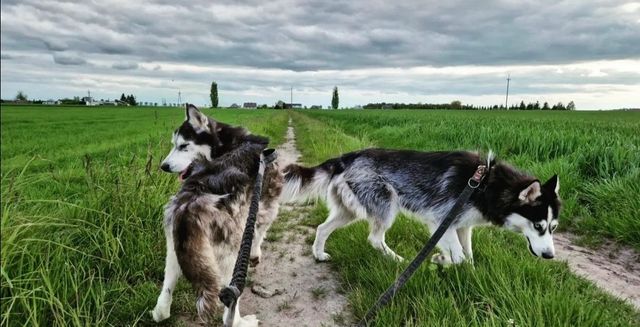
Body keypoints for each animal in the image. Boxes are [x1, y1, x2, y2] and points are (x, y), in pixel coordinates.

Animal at [151, 105, 282, 326]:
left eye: (183, 146)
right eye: (174, 145)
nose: (164, 166)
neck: (231, 144)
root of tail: (189, 205)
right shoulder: (267, 204)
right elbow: (260, 232)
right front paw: (255, 255)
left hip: (175, 249)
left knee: (165, 295)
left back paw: (161, 312)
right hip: (231, 254)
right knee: (230, 301)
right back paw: (241, 321)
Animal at [284, 150, 560, 266]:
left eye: (553, 228)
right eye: (538, 226)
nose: (550, 256)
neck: (485, 184)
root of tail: (347, 157)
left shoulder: (463, 226)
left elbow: (468, 255)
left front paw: (468, 271)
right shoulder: (441, 221)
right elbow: (459, 256)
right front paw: (444, 261)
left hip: (349, 211)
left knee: (322, 228)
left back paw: (319, 254)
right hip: (386, 206)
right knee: (375, 239)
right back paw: (396, 260)